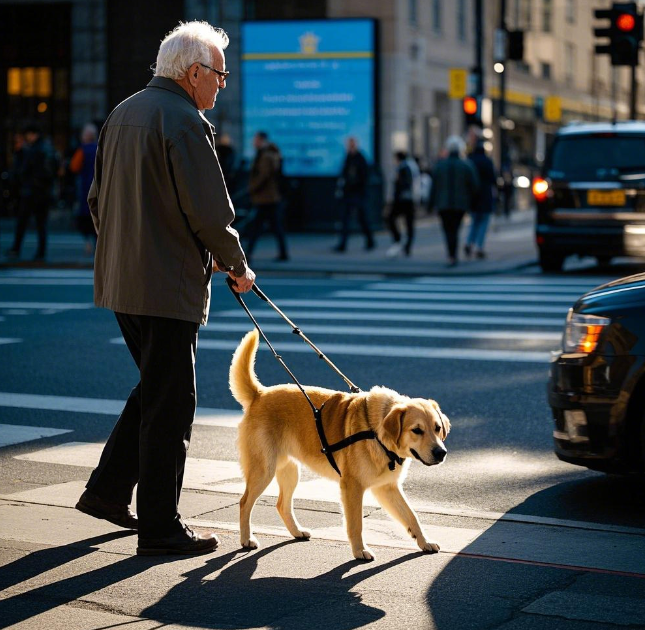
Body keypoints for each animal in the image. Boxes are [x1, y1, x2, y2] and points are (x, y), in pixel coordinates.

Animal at [229, 330, 450, 564]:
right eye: (417, 430)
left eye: (437, 428)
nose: (441, 453)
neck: (376, 432)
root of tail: (259, 394)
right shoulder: (352, 487)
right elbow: (356, 523)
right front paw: (360, 550)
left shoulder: (387, 488)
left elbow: (411, 516)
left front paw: (424, 541)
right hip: (264, 470)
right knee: (244, 502)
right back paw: (246, 539)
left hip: (290, 471)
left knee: (282, 504)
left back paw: (296, 531)